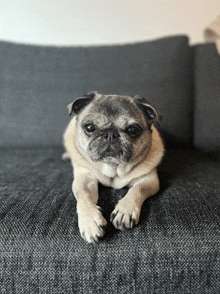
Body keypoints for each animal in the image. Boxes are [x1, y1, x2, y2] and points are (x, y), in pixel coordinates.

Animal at [62, 92, 164, 243]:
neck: (113, 169)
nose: (110, 133)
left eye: (132, 130)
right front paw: (90, 220)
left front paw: (125, 210)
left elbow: (137, 189)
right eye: (90, 127)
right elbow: (84, 194)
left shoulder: (149, 179)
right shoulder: (85, 177)